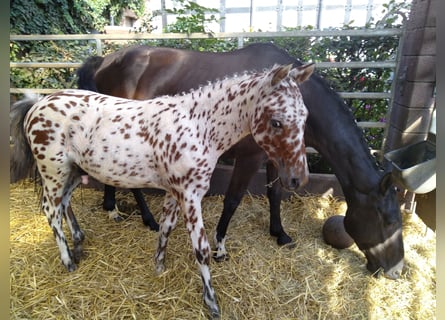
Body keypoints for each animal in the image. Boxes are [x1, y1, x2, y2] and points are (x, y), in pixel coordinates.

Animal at [12, 62, 314, 318]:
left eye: (305, 118)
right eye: (276, 121)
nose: (297, 179)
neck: (198, 126)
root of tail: (37, 104)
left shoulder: (175, 191)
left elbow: (166, 227)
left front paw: (159, 267)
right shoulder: (191, 195)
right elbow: (201, 249)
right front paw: (212, 302)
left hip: (74, 171)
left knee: (64, 204)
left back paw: (78, 242)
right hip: (53, 170)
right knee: (51, 209)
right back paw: (68, 261)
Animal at [75, 43, 402, 280]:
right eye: (389, 221)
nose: (396, 271)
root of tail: (105, 61)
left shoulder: (276, 157)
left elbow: (275, 193)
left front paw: (280, 233)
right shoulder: (249, 158)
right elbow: (232, 200)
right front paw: (220, 248)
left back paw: (112, 208)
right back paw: (146, 218)